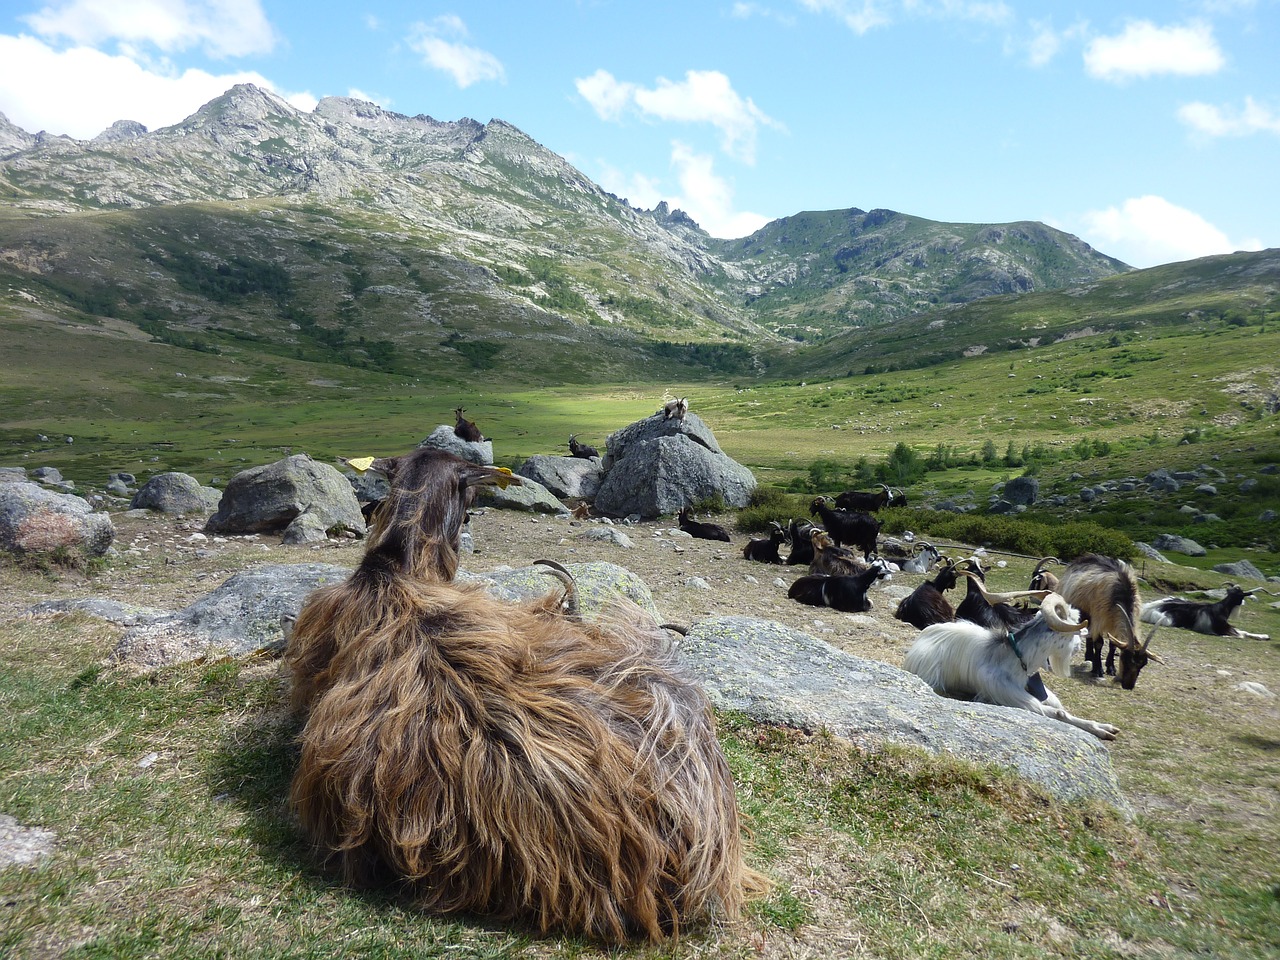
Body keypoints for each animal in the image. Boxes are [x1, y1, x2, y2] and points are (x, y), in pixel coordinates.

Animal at [1141, 586, 1269, 640]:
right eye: (1241, 596)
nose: (1243, 603)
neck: (1222, 608)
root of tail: (1147, 608)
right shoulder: (1223, 628)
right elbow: (1240, 634)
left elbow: (1244, 632)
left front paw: (1264, 636)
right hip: (1166, 620)